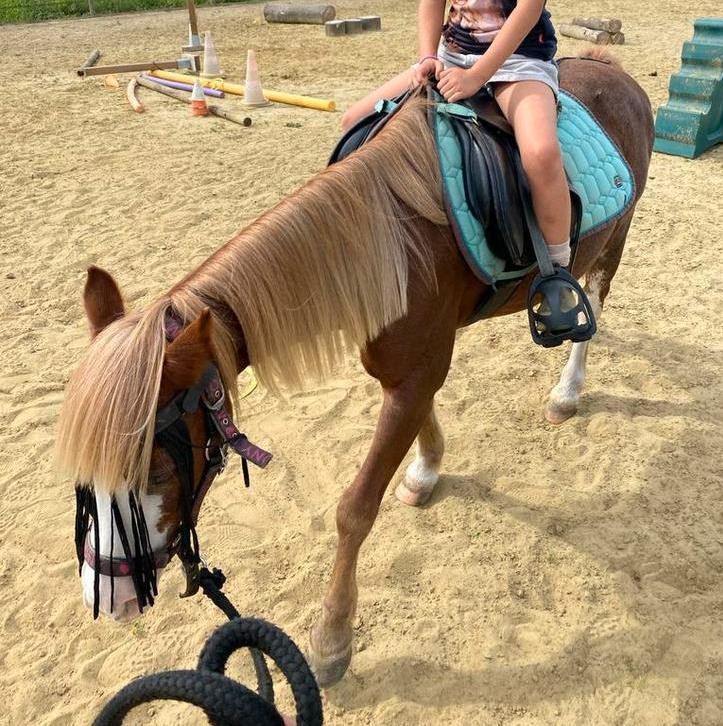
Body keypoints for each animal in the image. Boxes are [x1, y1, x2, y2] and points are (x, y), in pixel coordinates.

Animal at [56, 51, 653, 688]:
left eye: (157, 470)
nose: (106, 596)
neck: (389, 237)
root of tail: (611, 68)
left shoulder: (414, 375)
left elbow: (355, 510)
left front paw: (332, 638)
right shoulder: (409, 373)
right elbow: (422, 421)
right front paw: (425, 472)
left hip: (615, 238)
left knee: (594, 306)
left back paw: (567, 389)